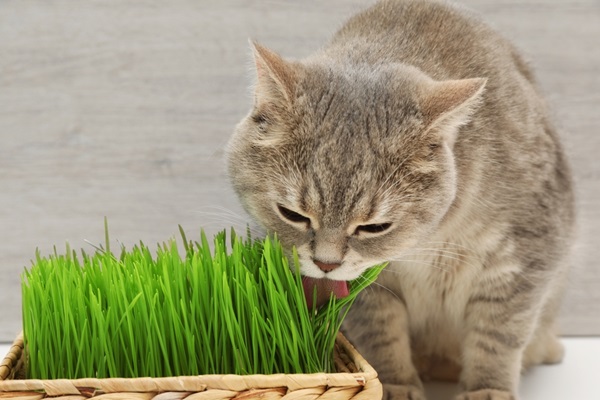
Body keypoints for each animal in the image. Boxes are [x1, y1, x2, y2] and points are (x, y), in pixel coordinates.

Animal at [227, 0, 576, 400]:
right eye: (292, 215)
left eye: (374, 227)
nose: (325, 264)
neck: (427, 241)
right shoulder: (368, 290)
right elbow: (380, 331)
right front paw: (395, 384)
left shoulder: (524, 255)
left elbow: (497, 334)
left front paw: (488, 389)